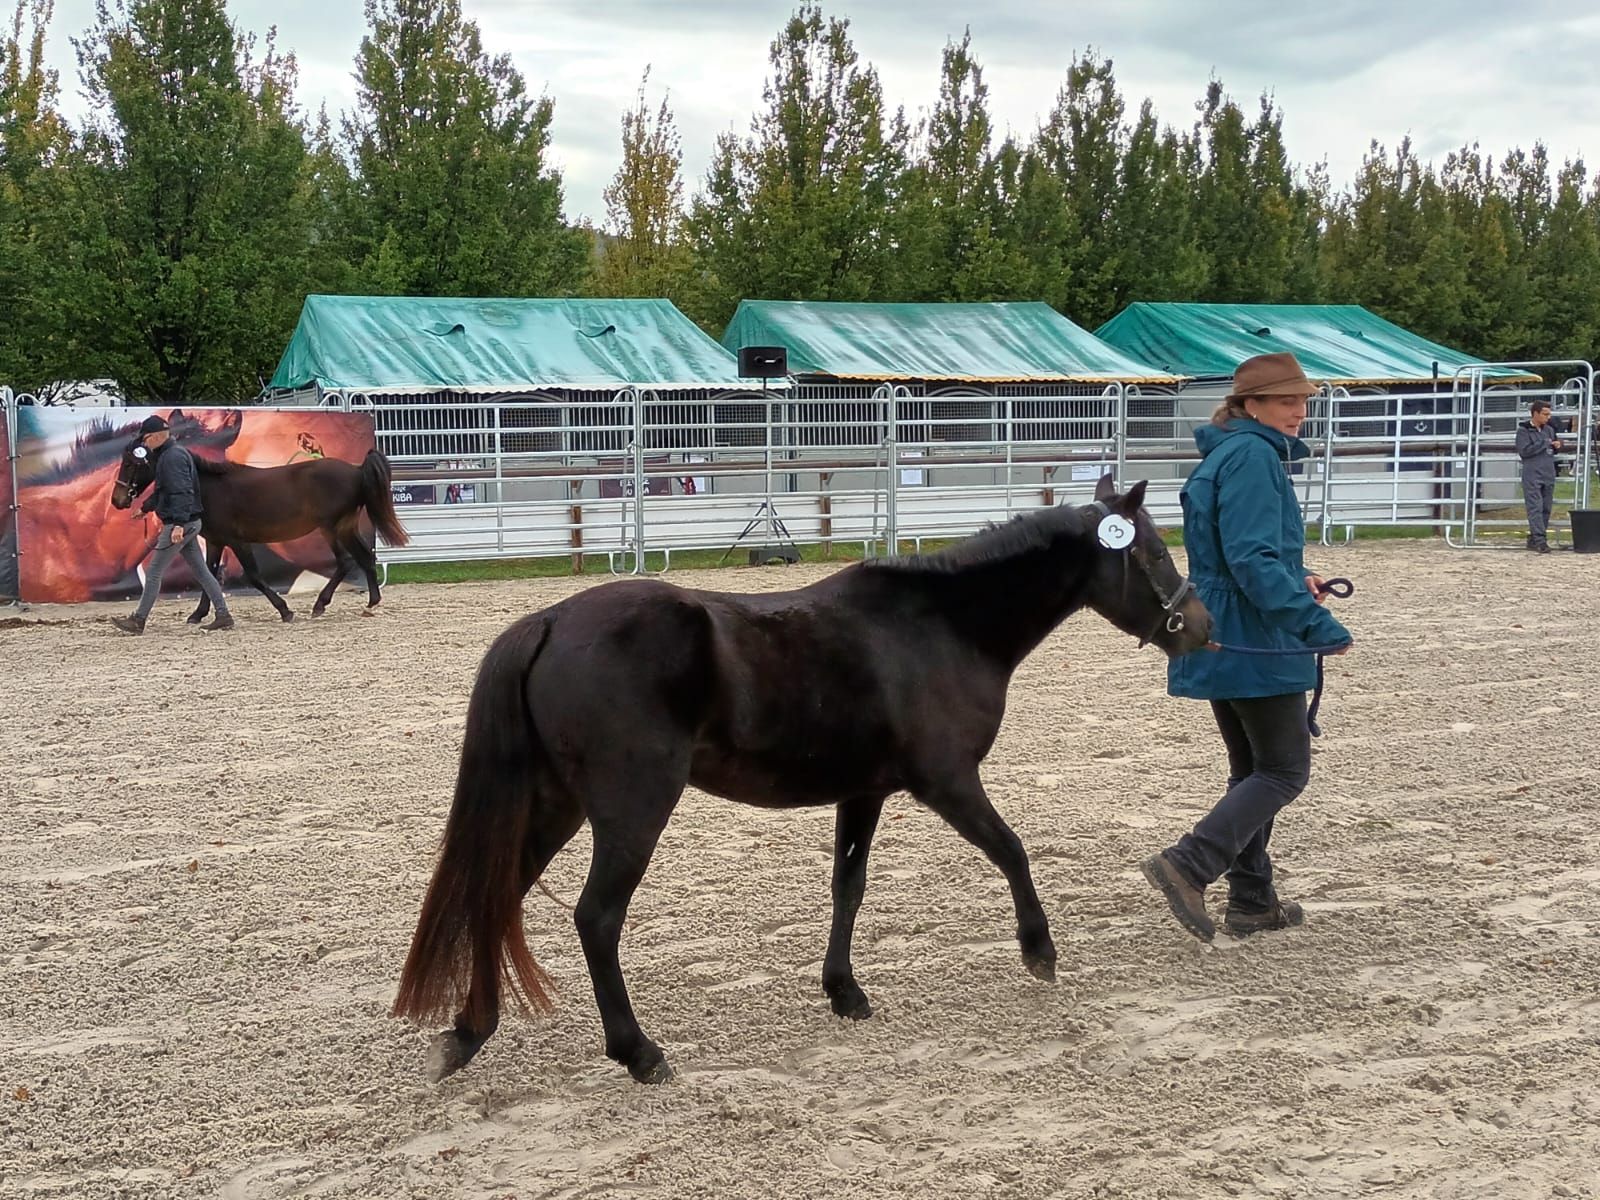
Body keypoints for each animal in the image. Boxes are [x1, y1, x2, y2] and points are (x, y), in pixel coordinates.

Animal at [109, 440, 411, 620]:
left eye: (131, 463)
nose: (118, 500)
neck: (209, 488)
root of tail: (357, 470)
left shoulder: (237, 541)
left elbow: (253, 576)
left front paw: (284, 610)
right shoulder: (217, 542)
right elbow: (208, 576)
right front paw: (198, 614)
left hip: (332, 528)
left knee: (346, 562)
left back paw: (320, 605)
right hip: (346, 527)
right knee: (365, 558)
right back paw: (372, 601)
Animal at [391, 474, 1214, 1085]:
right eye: (1152, 552)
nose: (1200, 626)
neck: (942, 626)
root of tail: (553, 622)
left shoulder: (865, 791)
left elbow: (848, 887)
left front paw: (844, 990)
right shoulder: (946, 781)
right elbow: (1011, 850)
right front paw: (1038, 950)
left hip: (557, 806)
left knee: (497, 896)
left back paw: (468, 1033)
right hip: (631, 809)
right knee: (596, 918)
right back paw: (637, 1051)